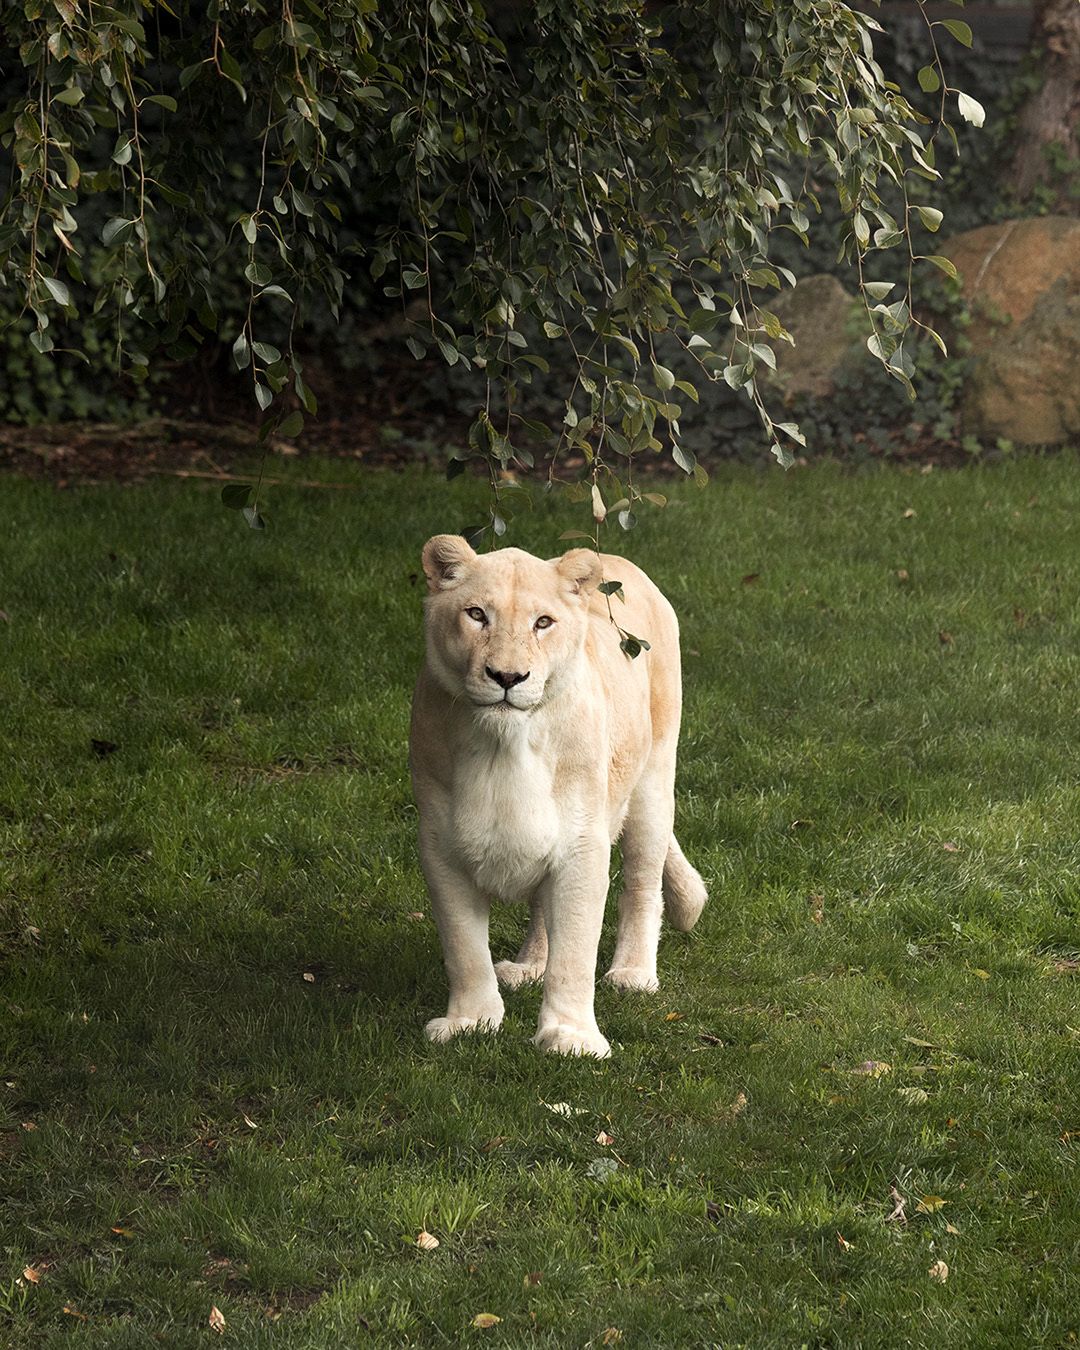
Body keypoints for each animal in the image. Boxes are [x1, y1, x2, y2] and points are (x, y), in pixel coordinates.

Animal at [409, 535, 707, 1057]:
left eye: (542, 622)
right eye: (476, 614)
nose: (508, 677)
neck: (503, 745)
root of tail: (620, 560)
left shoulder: (582, 844)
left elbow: (576, 950)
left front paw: (571, 1037)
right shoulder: (441, 847)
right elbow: (465, 949)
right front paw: (471, 1021)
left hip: (652, 784)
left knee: (642, 885)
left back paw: (633, 974)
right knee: (541, 912)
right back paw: (528, 967)